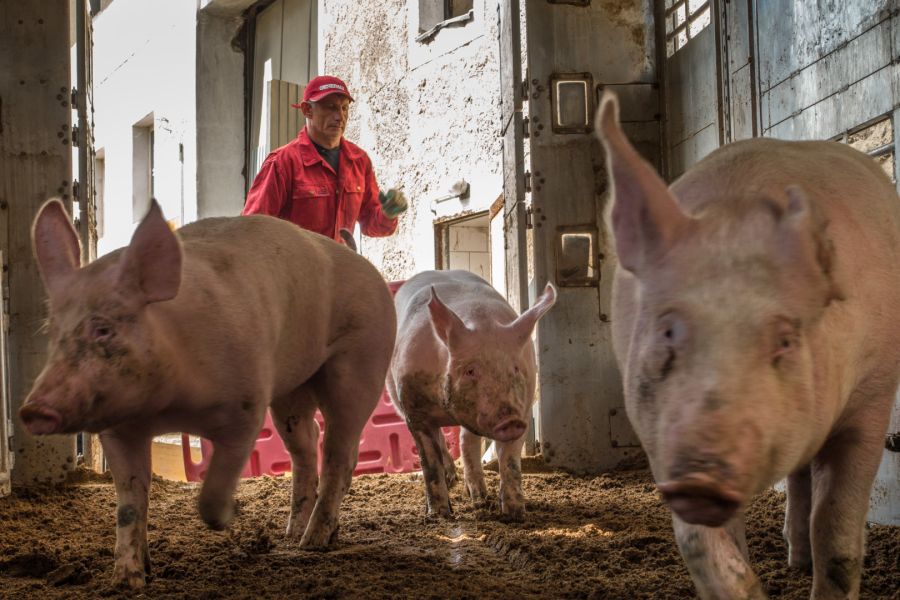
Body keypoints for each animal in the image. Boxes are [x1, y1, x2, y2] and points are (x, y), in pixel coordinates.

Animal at [19, 199, 396, 588]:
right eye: (52, 331)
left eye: (104, 329)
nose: (33, 410)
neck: (167, 407)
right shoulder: (119, 429)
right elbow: (130, 501)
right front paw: (127, 580)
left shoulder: (246, 407)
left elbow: (213, 491)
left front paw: (229, 516)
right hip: (291, 390)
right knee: (307, 443)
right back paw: (292, 534)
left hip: (363, 359)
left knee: (339, 449)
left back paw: (313, 542)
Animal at [386, 270, 556, 520]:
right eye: (470, 371)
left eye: (515, 368)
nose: (510, 420)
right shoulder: (413, 409)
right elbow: (430, 462)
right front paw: (439, 515)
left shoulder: (523, 409)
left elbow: (510, 460)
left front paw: (515, 514)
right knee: (445, 443)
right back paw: (453, 482)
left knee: (466, 441)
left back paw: (478, 498)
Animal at [596, 90, 900, 599]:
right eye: (667, 331)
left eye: (785, 339)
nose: (701, 475)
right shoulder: (656, 430)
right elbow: (705, 547)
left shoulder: (873, 393)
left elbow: (836, 533)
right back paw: (795, 560)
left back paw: (800, 562)